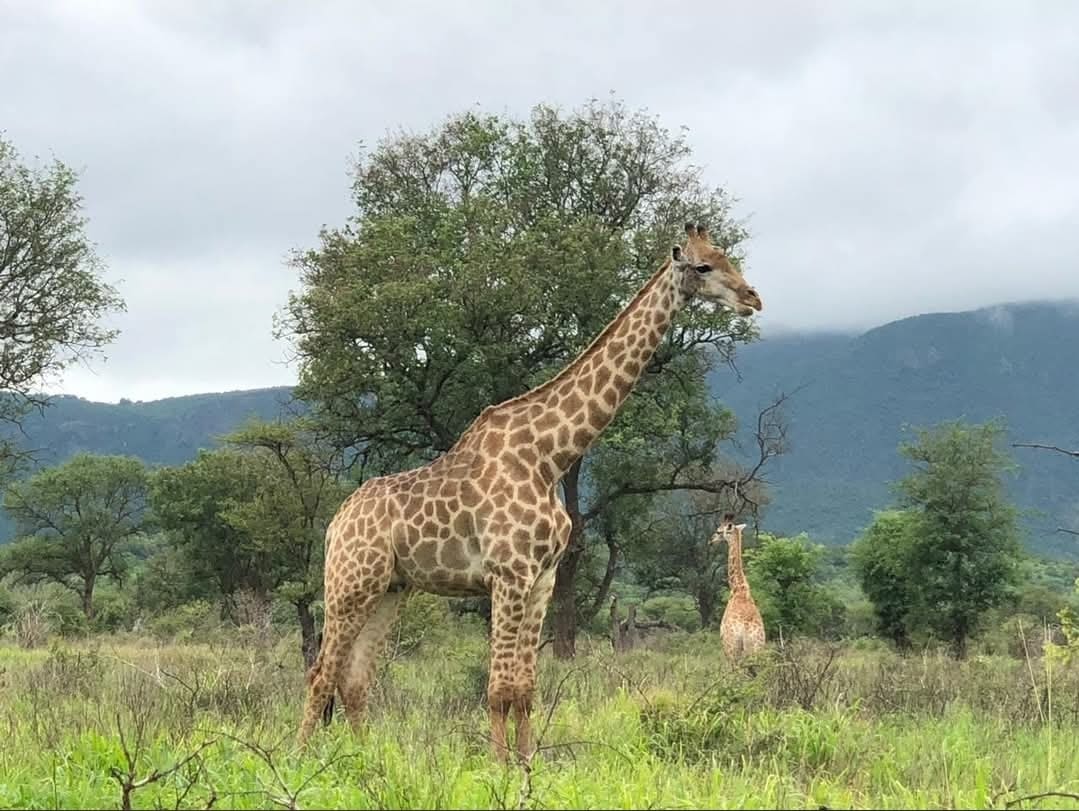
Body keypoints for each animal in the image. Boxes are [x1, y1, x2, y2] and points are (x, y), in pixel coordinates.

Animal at [711, 514, 766, 661]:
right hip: (757, 650)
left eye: (719, 531)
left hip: (732, 650)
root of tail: (746, 633)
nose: (711, 541)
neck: (738, 589)